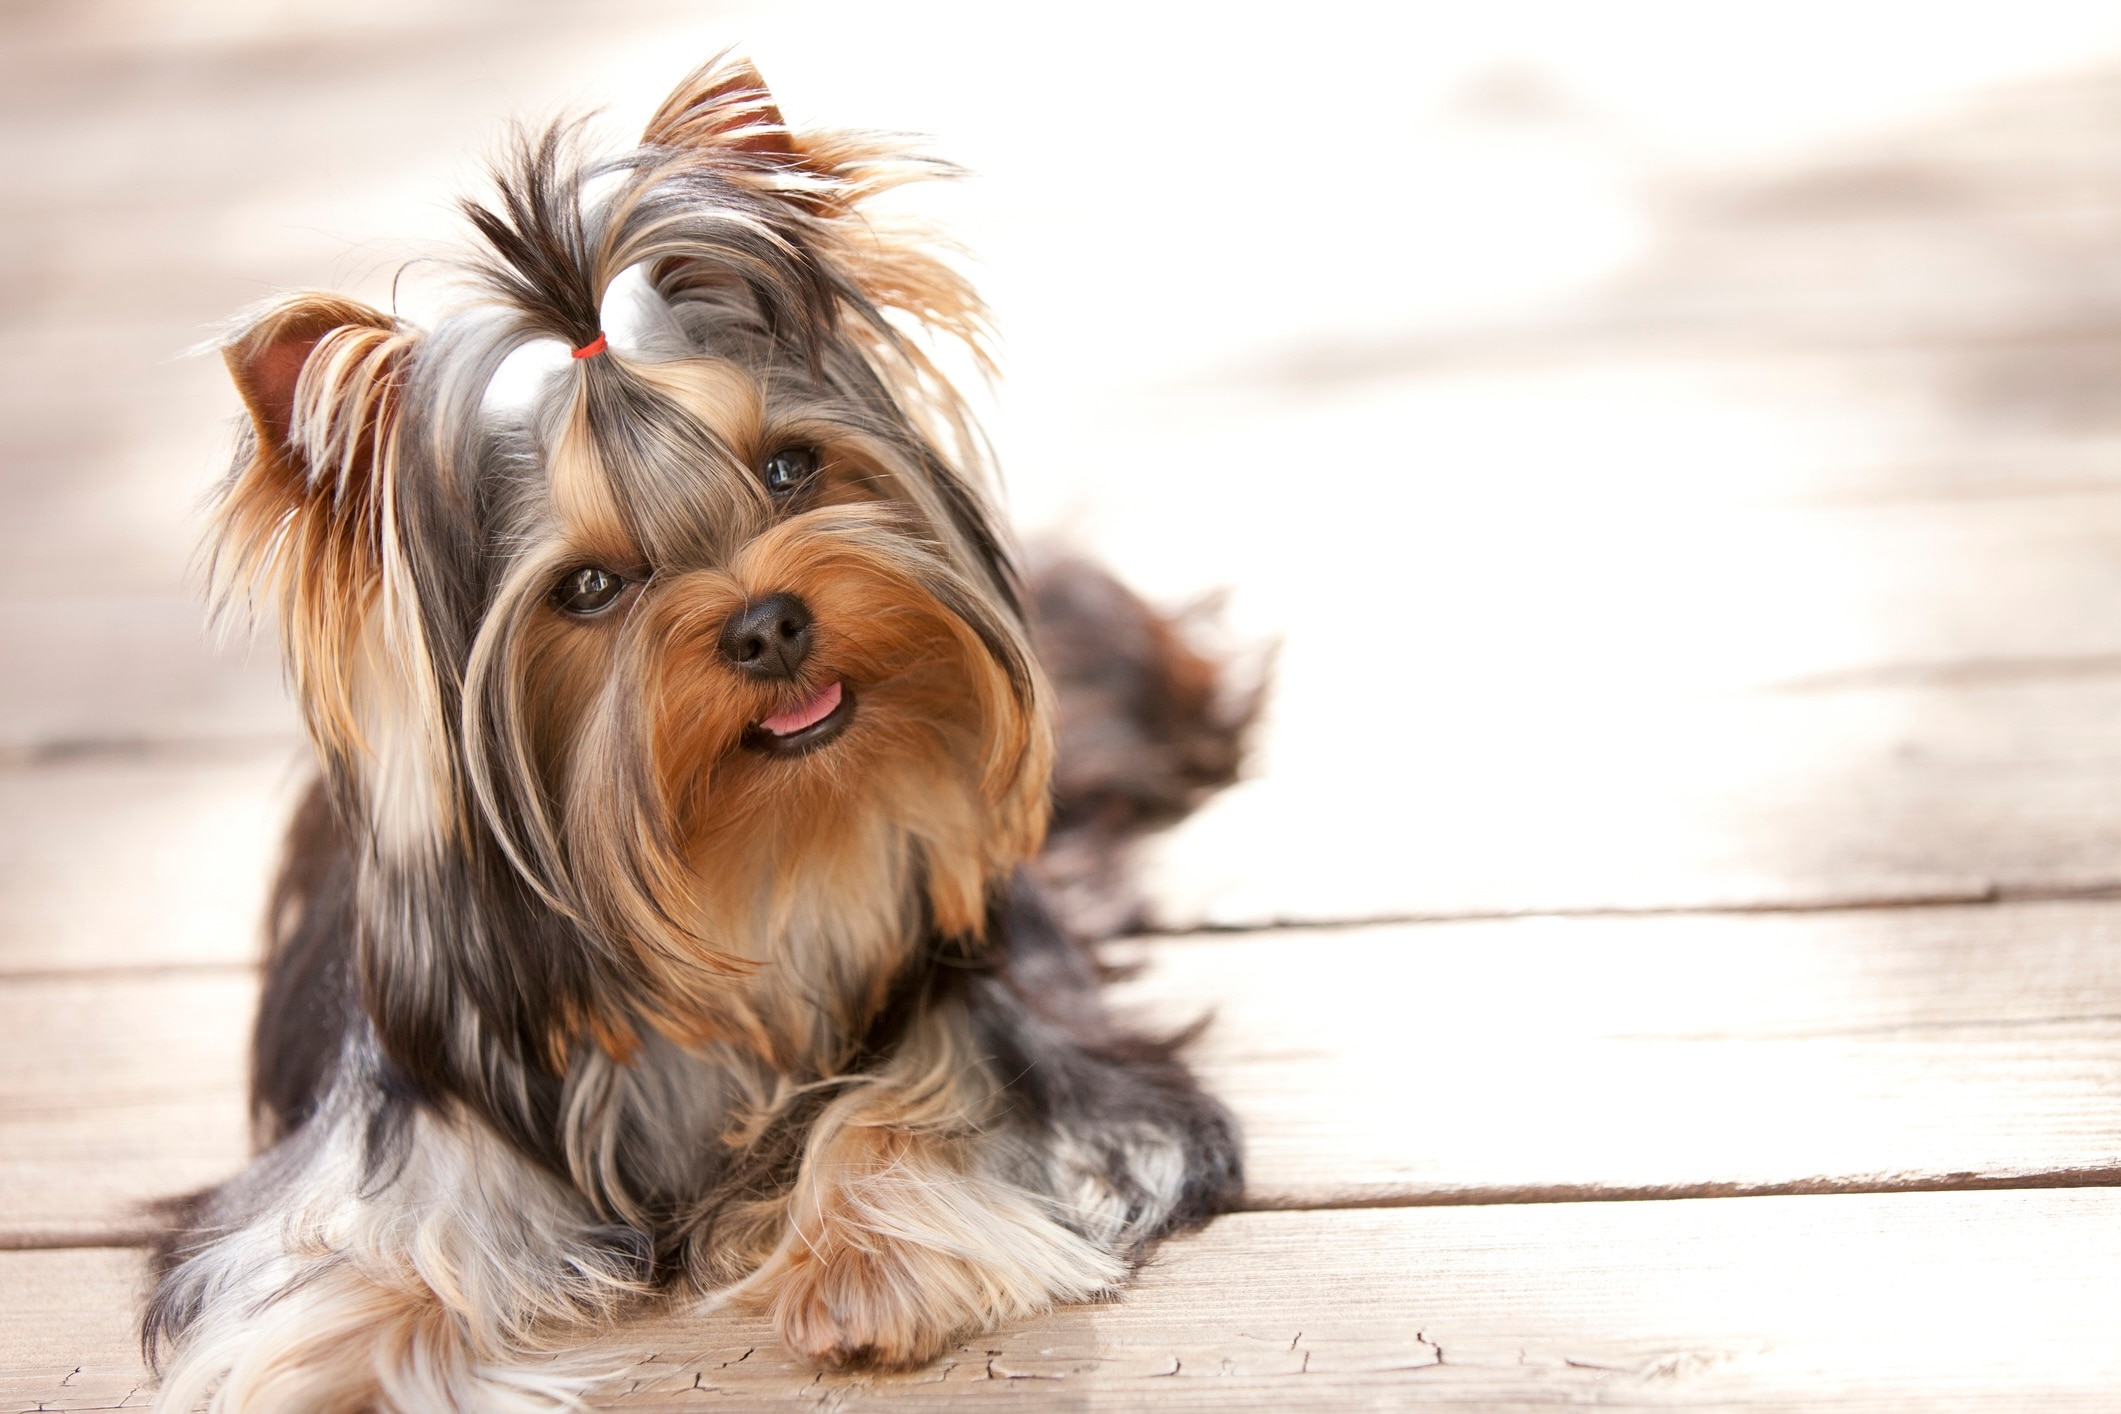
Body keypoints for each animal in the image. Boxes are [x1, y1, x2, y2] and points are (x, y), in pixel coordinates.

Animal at [149, 58, 1247, 1414]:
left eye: (787, 467)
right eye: (588, 589)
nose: (769, 624)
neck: (749, 861)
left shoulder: (1010, 1019)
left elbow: (924, 1097)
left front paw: (870, 1262)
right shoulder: (406, 1117)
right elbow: (349, 1243)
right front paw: (330, 1365)